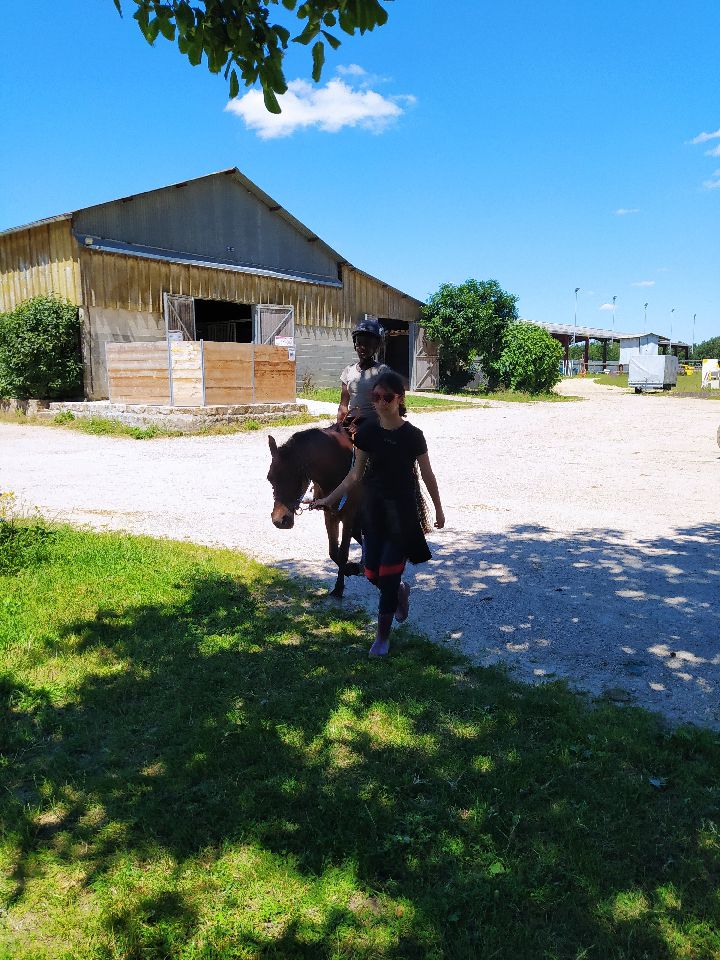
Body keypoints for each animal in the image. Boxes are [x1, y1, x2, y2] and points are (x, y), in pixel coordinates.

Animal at [268, 426, 362, 596]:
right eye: (270, 478)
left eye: (295, 476)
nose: (279, 520)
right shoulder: (330, 514)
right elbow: (333, 551)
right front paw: (350, 569)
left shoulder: (349, 516)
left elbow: (343, 553)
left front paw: (339, 588)